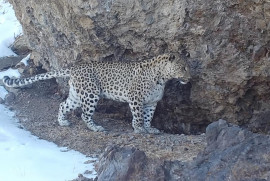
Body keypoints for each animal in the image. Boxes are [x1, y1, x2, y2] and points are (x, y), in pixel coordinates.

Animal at [3, 53, 191, 134]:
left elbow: (148, 116)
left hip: (77, 95)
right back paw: (95, 127)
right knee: (85, 115)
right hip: (91, 94)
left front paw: (149, 128)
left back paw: (63, 122)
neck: (162, 78)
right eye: (183, 68)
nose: (189, 78)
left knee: (63, 104)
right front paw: (138, 129)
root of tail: (75, 67)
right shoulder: (135, 99)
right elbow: (138, 116)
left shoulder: (151, 103)